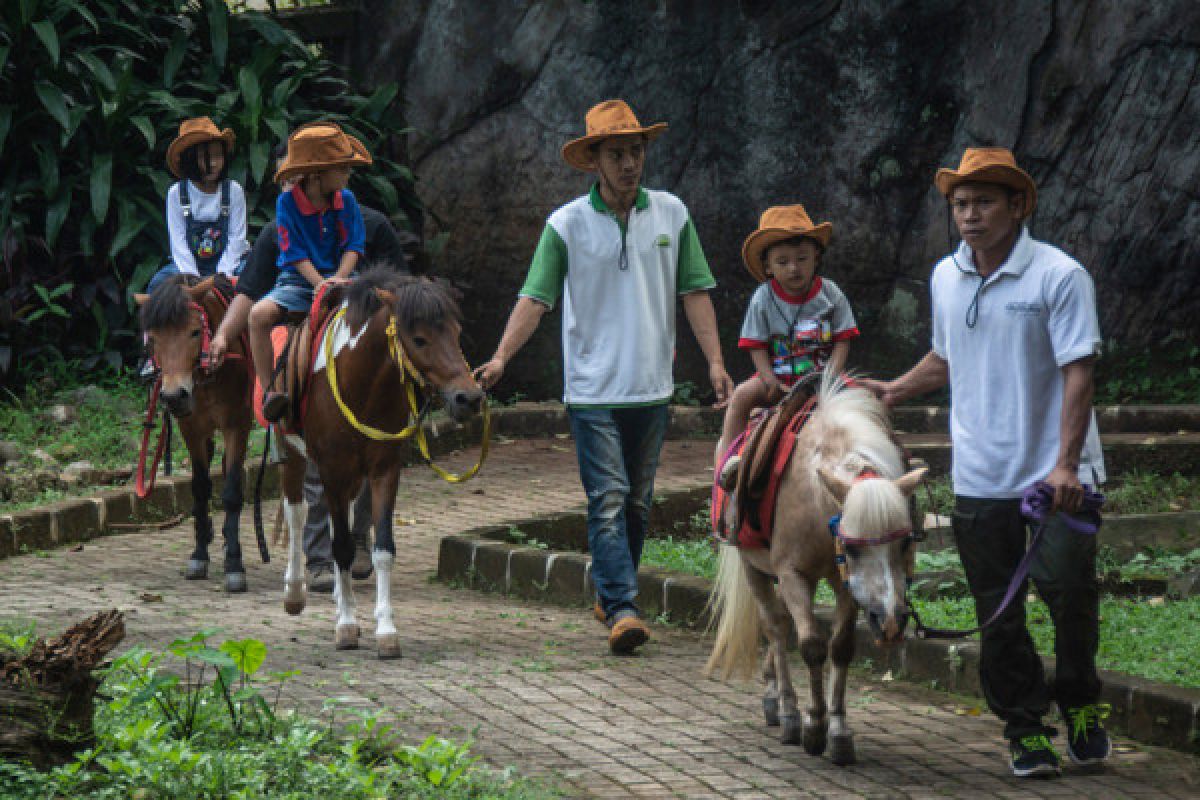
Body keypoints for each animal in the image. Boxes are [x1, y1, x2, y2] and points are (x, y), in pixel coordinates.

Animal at [138, 275, 255, 594]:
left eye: (194, 332)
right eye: (152, 338)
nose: (173, 396)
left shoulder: (238, 424)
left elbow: (231, 491)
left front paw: (234, 563)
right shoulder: (191, 428)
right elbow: (201, 487)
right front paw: (200, 554)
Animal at [278, 272, 484, 662]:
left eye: (456, 331)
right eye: (419, 338)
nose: (469, 398)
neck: (362, 384)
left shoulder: (384, 469)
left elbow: (382, 549)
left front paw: (385, 630)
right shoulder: (331, 468)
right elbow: (341, 547)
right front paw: (346, 626)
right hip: (292, 451)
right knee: (296, 512)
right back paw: (295, 592)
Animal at [705, 379, 921, 767]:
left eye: (905, 543)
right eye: (852, 547)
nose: (891, 623)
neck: (818, 503)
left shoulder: (847, 584)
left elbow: (841, 648)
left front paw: (838, 731)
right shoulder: (792, 574)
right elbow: (811, 647)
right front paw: (813, 725)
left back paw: (773, 692)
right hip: (753, 566)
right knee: (775, 626)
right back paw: (787, 710)